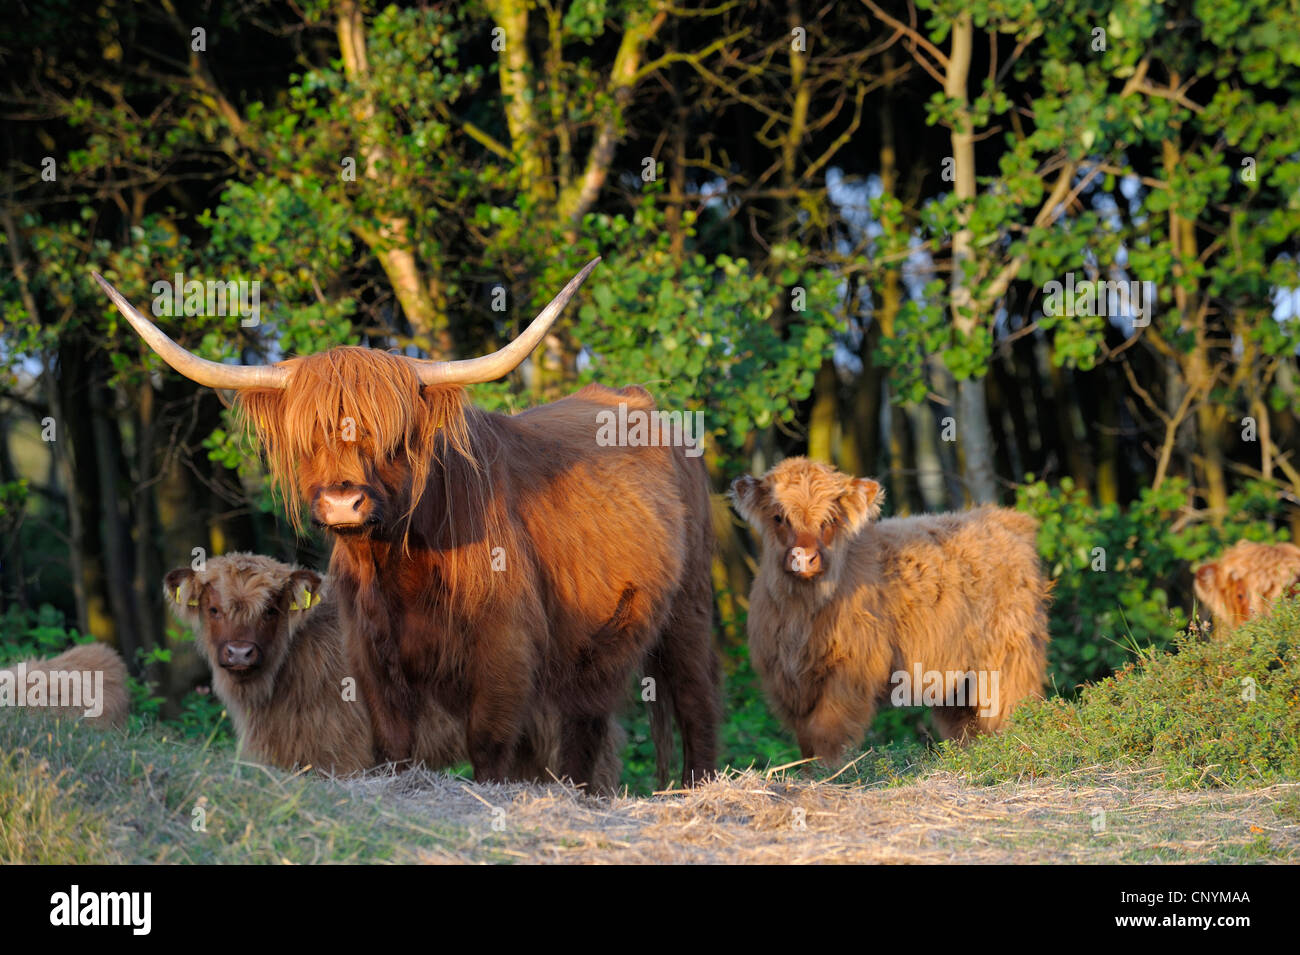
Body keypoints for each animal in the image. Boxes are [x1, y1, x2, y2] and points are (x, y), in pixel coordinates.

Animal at [728, 459, 1050, 764]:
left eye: (830, 519)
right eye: (778, 517)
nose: (804, 558)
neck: (801, 612)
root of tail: (1004, 519)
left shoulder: (851, 671)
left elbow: (826, 732)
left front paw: (832, 773)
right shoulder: (787, 679)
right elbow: (806, 741)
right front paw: (811, 774)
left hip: (1008, 657)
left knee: (1011, 709)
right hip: (955, 675)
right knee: (966, 726)